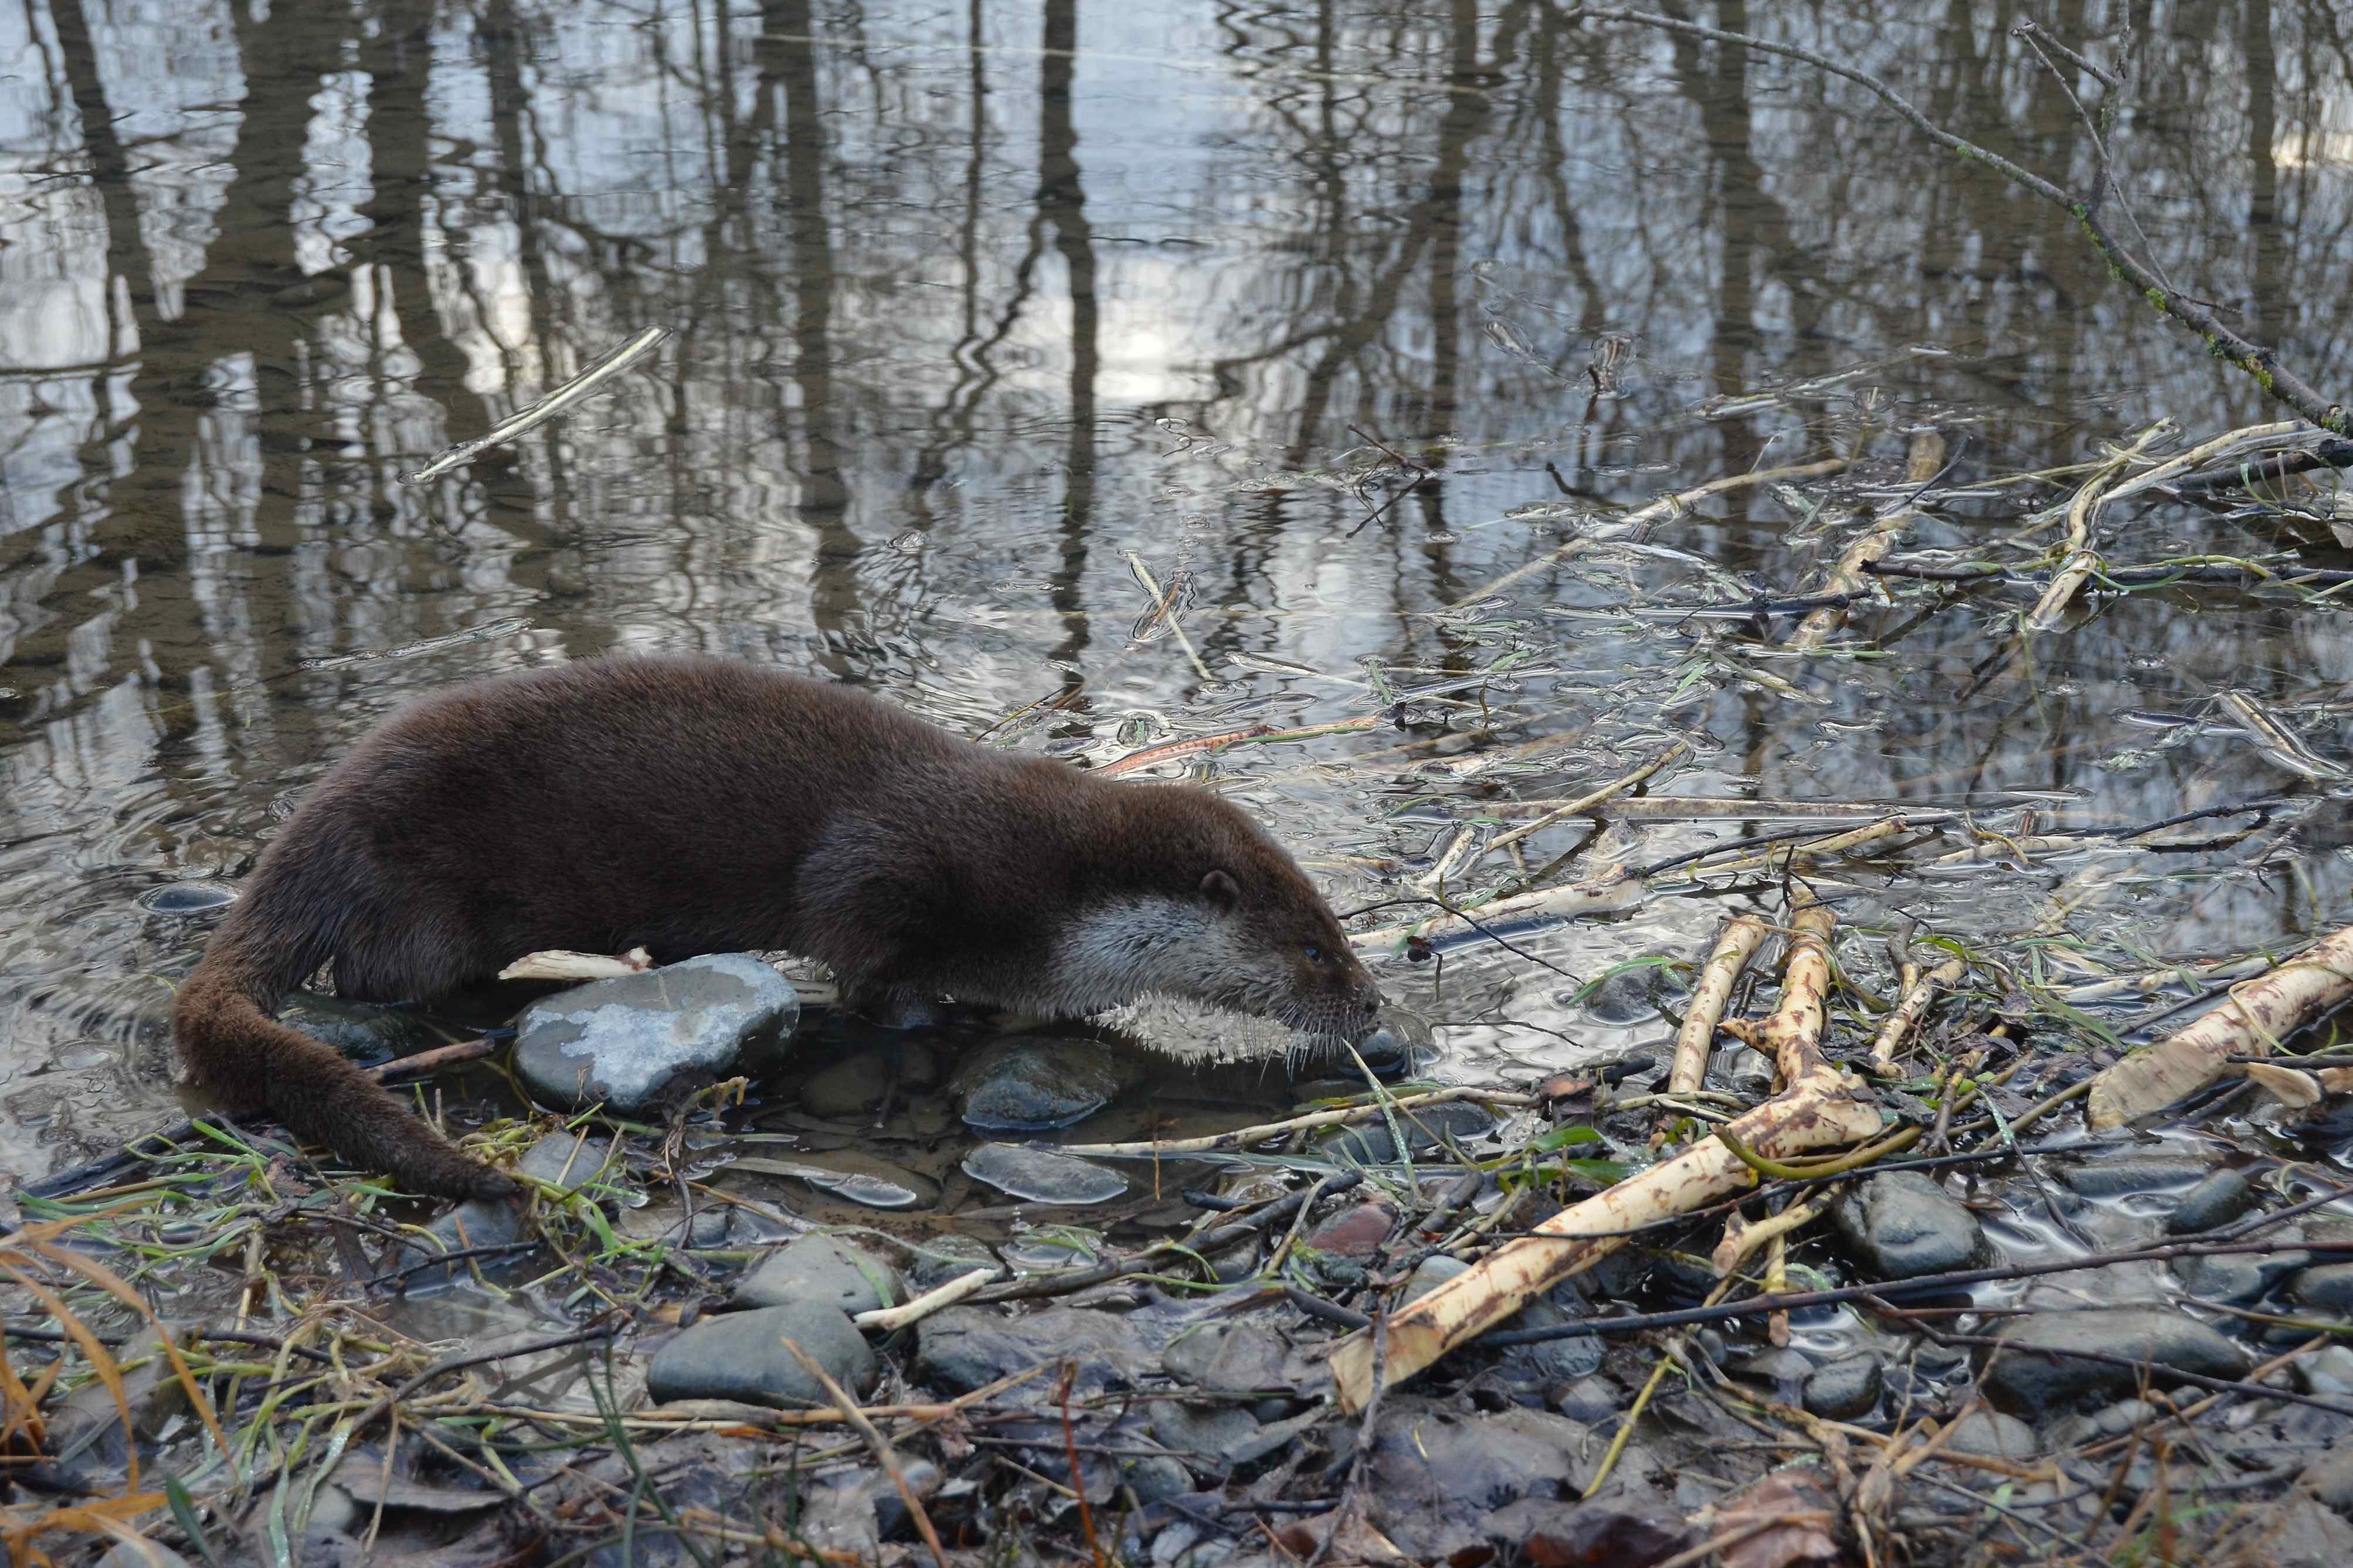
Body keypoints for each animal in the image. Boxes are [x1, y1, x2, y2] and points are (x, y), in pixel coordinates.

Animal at [172, 656, 1383, 1199]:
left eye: (1337, 929)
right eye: (1312, 948)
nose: (1369, 1003)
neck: (1053, 889)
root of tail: (323, 811)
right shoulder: (894, 864)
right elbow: (861, 952)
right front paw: (939, 1021)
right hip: (419, 889)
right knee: (381, 980)